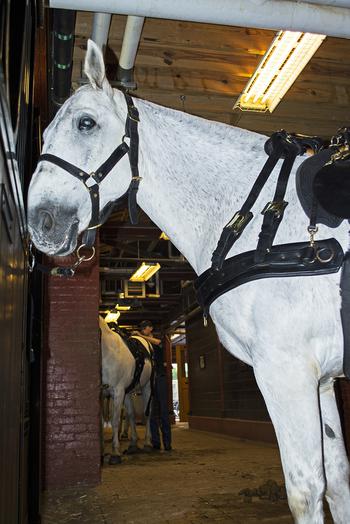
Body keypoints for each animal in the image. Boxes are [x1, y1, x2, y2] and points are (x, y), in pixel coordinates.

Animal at [99, 316, 152, 462]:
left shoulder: (117, 392)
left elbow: (115, 420)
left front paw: (115, 453)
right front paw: (101, 453)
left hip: (146, 387)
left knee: (147, 414)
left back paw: (147, 443)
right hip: (127, 393)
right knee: (131, 414)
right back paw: (133, 444)